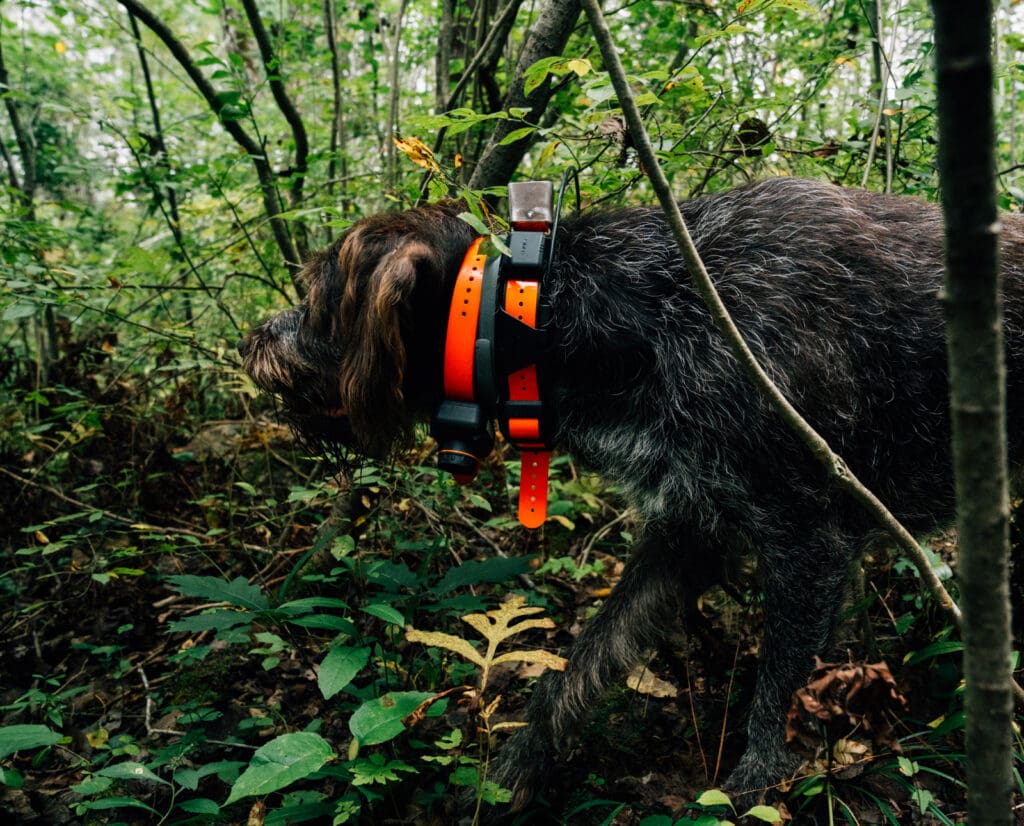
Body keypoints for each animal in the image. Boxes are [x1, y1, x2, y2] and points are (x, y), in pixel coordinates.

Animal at [235, 179, 1024, 806]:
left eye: (312, 298)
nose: (249, 340)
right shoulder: (689, 529)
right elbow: (581, 665)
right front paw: (514, 773)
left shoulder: (810, 538)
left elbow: (777, 695)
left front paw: (750, 794)